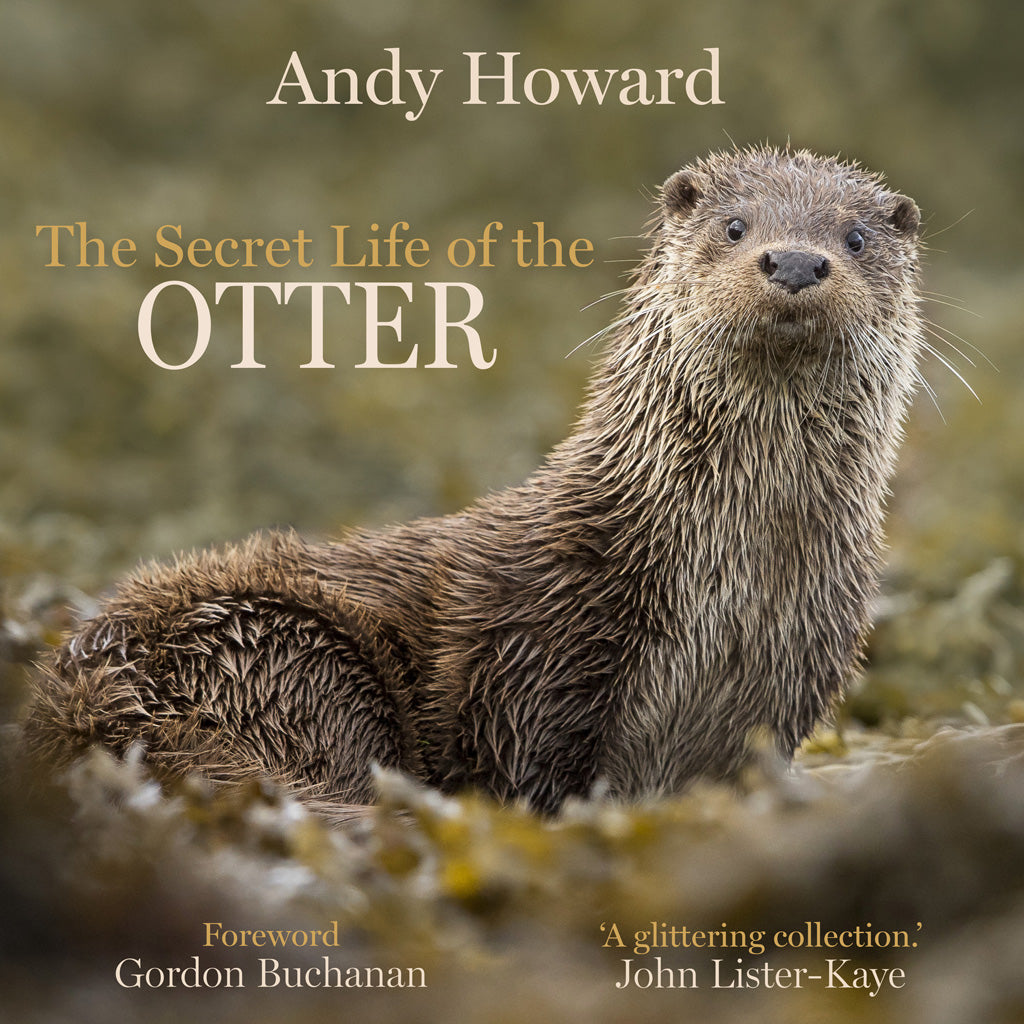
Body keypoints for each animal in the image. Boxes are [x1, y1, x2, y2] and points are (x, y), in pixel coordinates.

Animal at [23, 146, 923, 816]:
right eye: (735, 226)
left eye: (856, 238)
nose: (796, 261)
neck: (733, 588)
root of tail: (83, 696)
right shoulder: (531, 660)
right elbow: (524, 774)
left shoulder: (790, 676)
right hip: (287, 651)